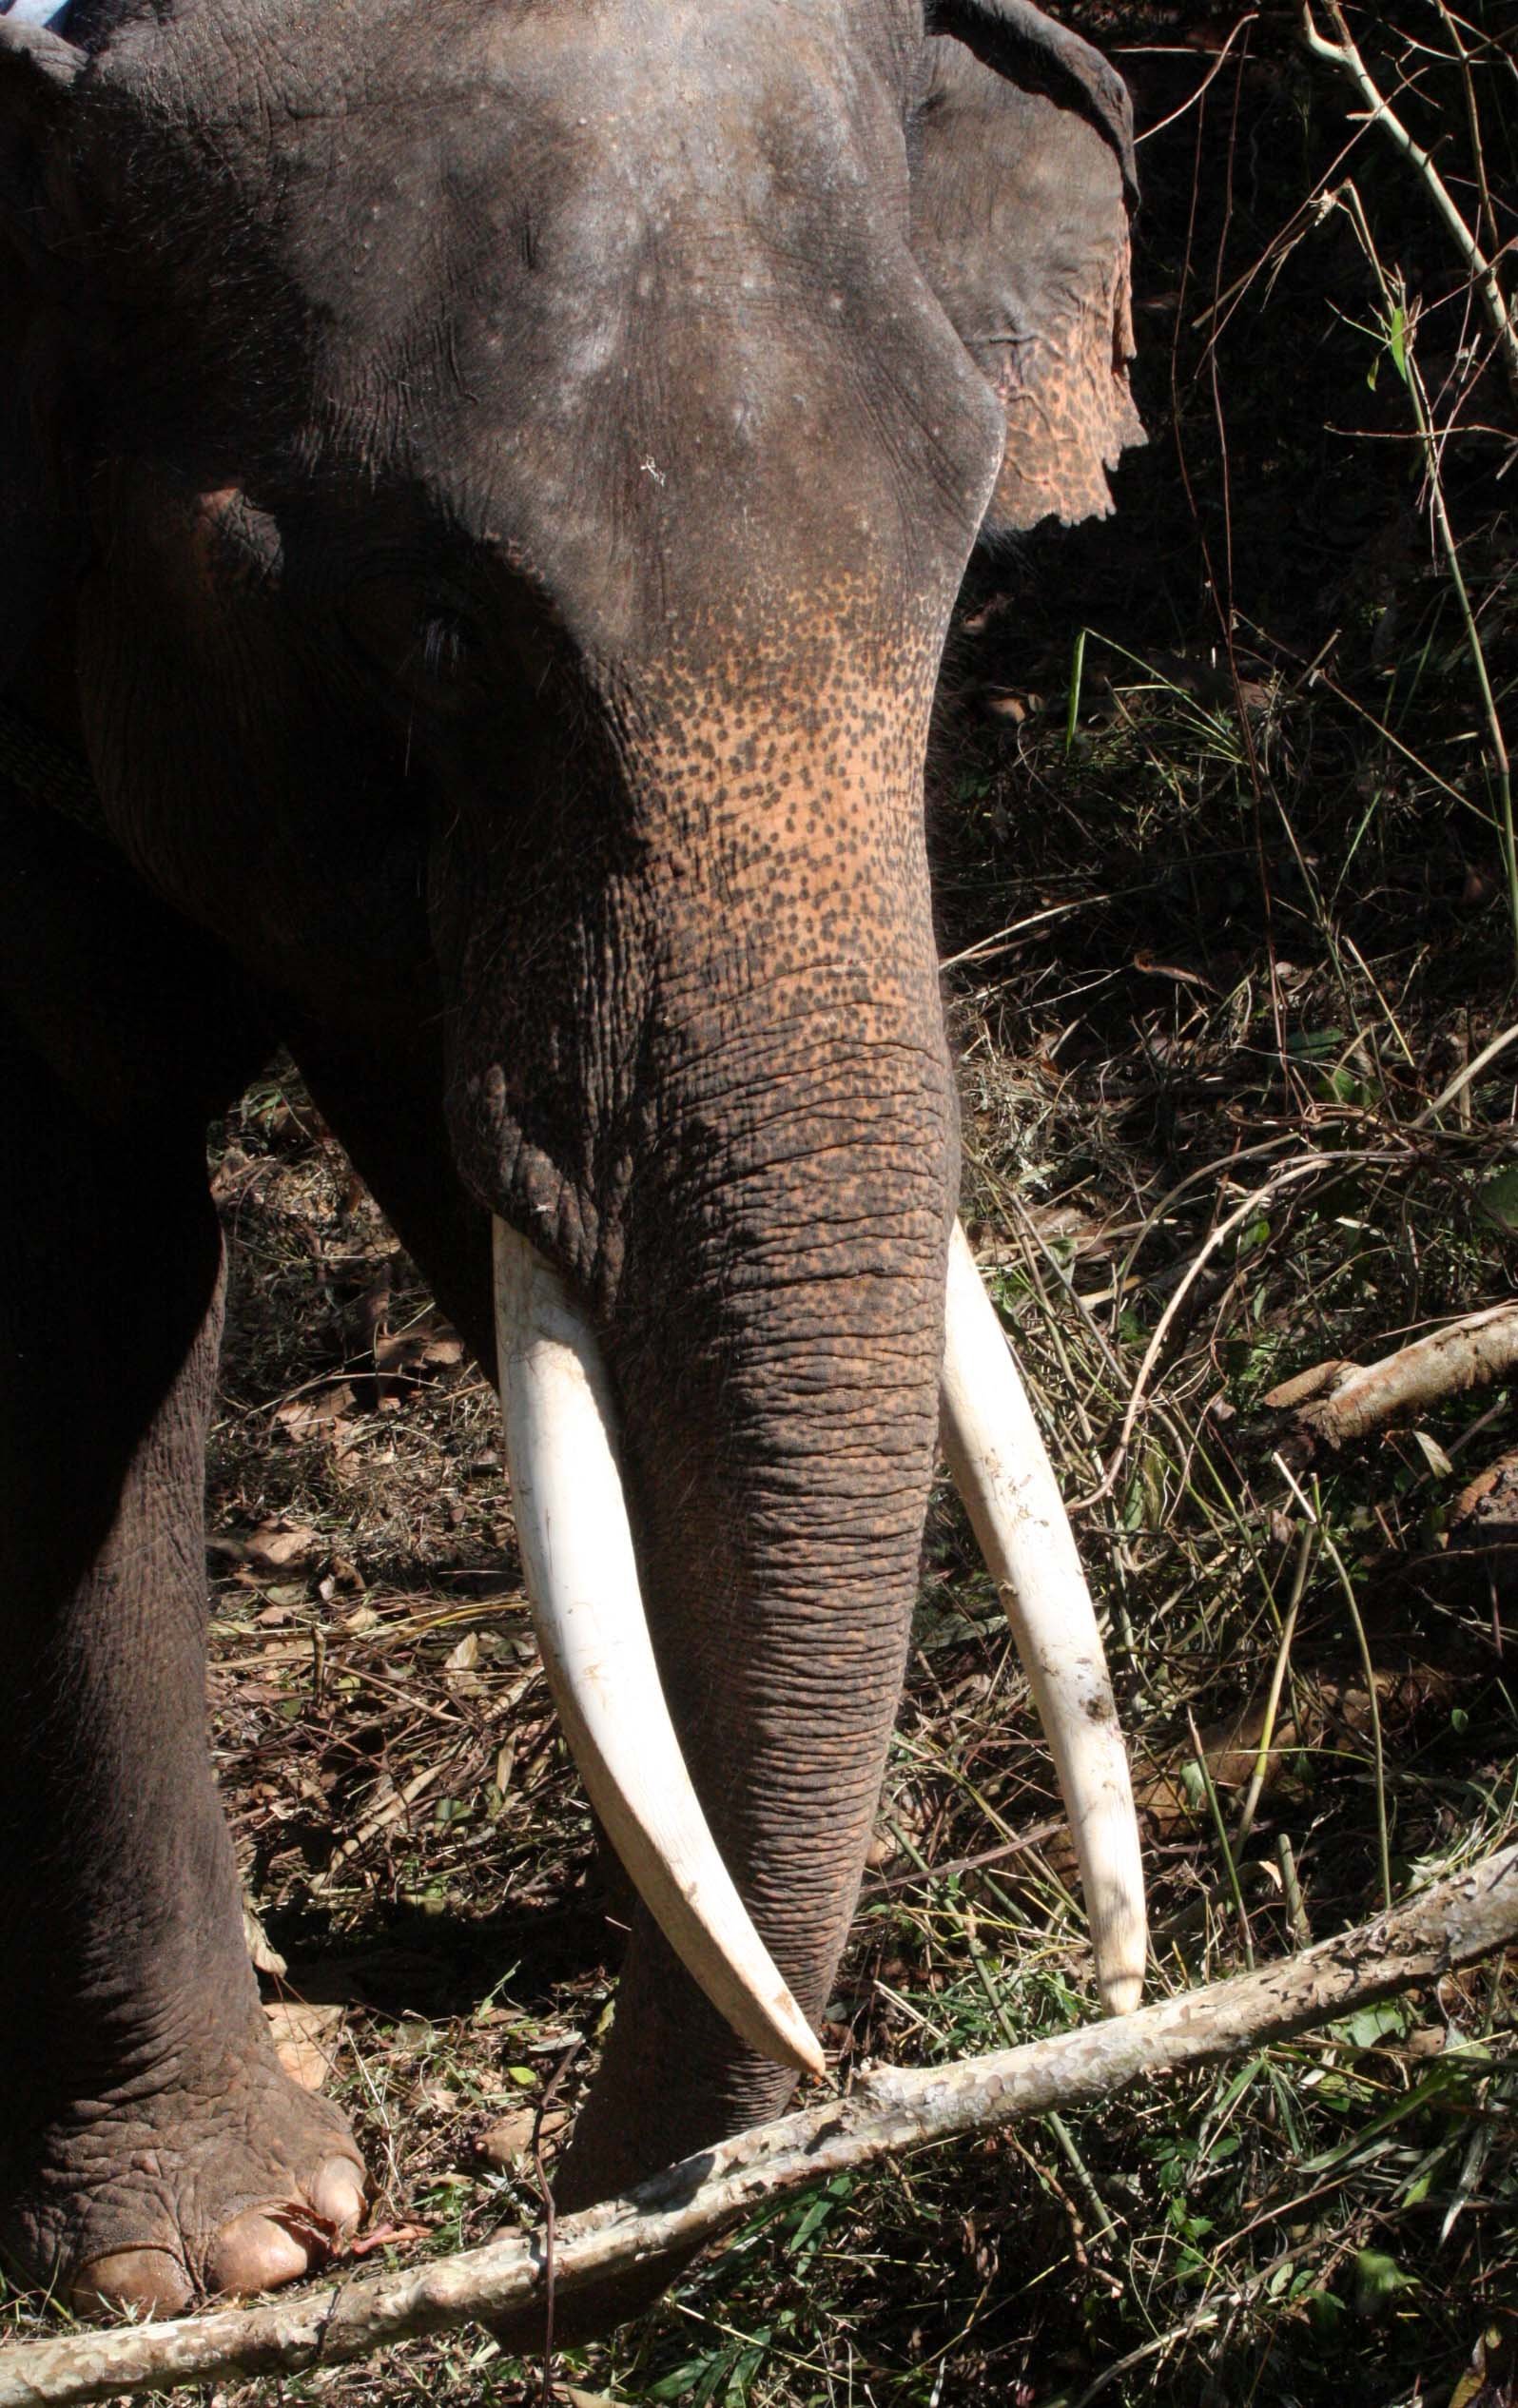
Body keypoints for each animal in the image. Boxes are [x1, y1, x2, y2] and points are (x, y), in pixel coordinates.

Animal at [0, 0, 1149, 2340]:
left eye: (965, 569)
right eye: (429, 631)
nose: (582, 2213)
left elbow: (478, 1190)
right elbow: (85, 1283)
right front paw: (222, 2250)